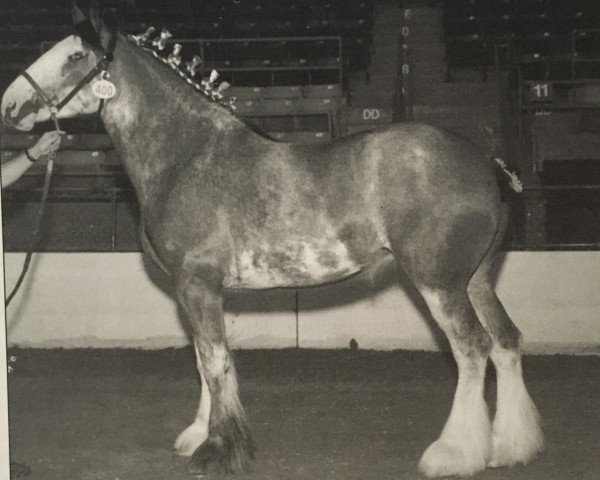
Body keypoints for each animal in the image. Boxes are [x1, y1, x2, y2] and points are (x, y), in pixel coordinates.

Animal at [0, 2, 544, 476]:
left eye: (75, 57)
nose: (10, 104)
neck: (186, 155)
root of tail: (486, 165)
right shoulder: (195, 290)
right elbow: (204, 359)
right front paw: (199, 435)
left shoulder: (198, 283)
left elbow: (216, 362)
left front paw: (218, 451)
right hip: (475, 280)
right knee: (505, 341)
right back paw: (510, 447)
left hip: (439, 283)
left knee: (472, 348)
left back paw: (453, 454)